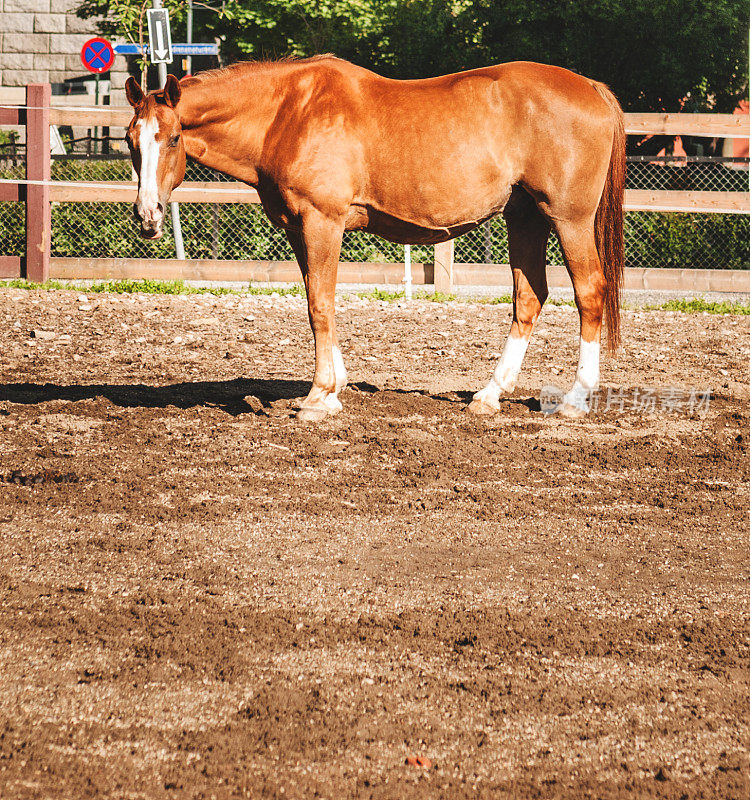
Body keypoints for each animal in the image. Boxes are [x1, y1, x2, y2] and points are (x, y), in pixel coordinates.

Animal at [125, 55, 628, 418]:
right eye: (131, 141)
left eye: (172, 138)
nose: (148, 215)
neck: (288, 112)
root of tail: (591, 88)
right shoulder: (300, 230)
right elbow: (317, 299)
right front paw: (334, 388)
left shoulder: (322, 223)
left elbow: (320, 304)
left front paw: (318, 396)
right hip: (524, 218)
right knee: (529, 298)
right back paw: (489, 395)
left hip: (568, 219)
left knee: (589, 293)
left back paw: (575, 399)